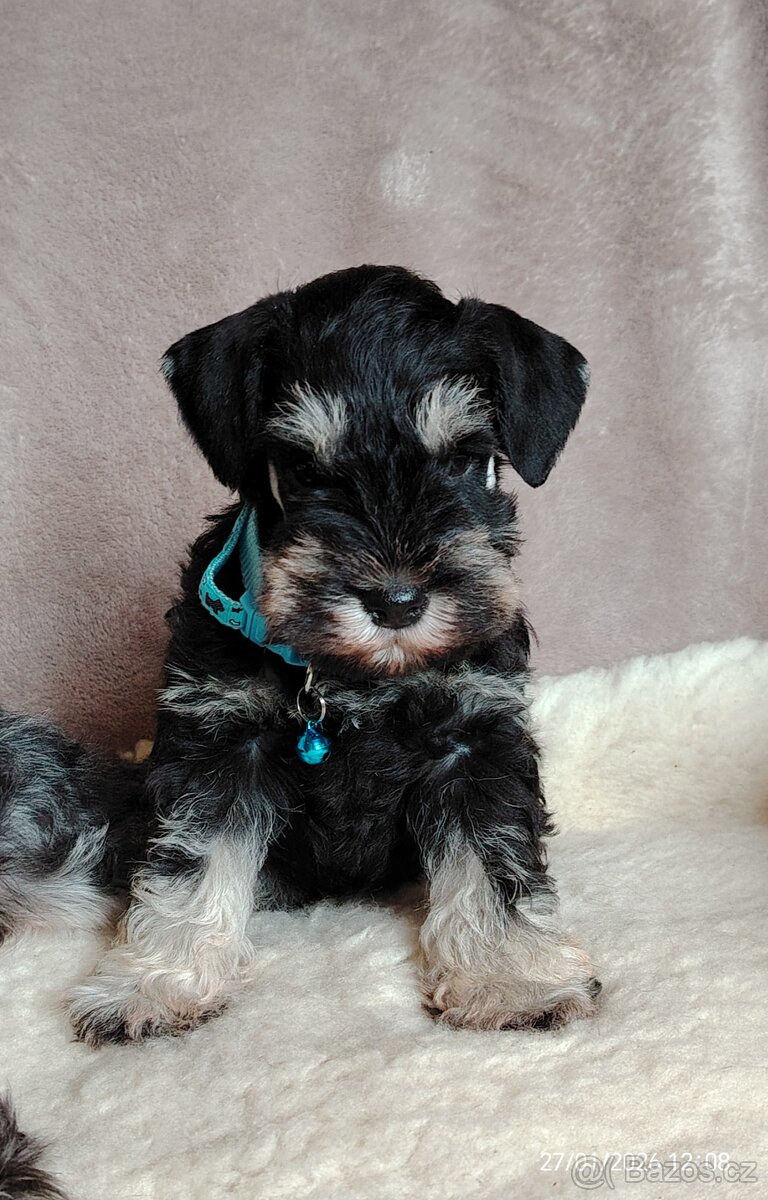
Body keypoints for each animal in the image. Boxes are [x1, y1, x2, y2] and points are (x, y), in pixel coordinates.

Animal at [1, 264, 599, 1054]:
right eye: (305, 468)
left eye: (465, 459)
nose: (397, 601)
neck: (353, 675)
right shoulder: (222, 746)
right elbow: (191, 864)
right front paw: (156, 984)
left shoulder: (474, 740)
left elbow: (494, 861)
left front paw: (513, 978)